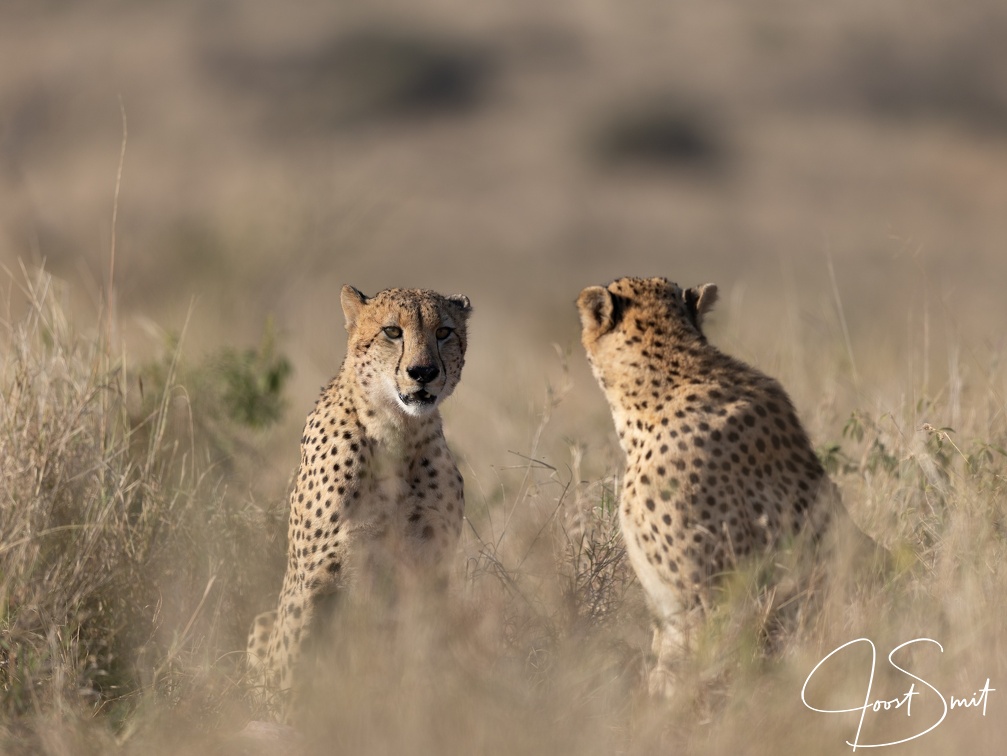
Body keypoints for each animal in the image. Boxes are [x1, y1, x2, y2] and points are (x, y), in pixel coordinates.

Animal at [247, 284, 471, 722]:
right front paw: (290, 719)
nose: (423, 373)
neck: (397, 432)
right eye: (392, 331)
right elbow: (295, 662)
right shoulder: (314, 578)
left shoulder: (428, 572)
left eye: (444, 332)